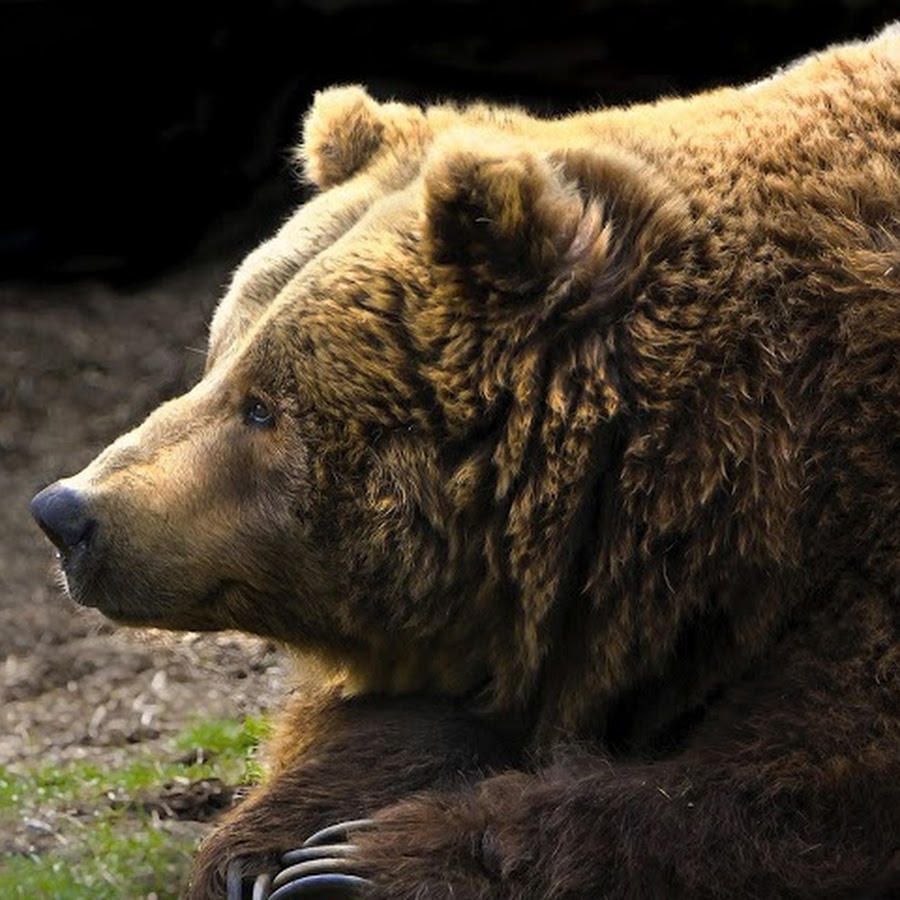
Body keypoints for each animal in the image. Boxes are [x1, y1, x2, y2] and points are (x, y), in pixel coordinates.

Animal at [30, 24, 900, 899]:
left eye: (264, 405)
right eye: (217, 355)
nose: (67, 512)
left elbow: (801, 787)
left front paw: (364, 862)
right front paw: (271, 846)